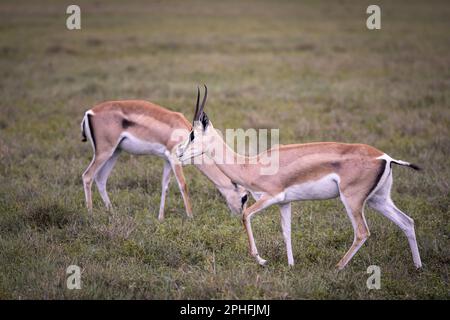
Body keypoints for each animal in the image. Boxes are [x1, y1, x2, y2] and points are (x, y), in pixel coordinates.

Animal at [79, 96, 248, 219]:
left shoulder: (167, 160)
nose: (240, 215)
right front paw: (191, 217)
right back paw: (90, 214)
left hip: (115, 152)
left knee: (101, 178)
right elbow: (183, 185)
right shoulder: (175, 158)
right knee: (87, 176)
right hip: (104, 151)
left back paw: (112, 213)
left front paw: (160, 218)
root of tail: (89, 112)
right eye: (244, 197)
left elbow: (164, 186)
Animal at [176, 85, 422, 270]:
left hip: (352, 200)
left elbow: (245, 215)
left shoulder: (271, 196)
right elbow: (287, 232)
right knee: (407, 222)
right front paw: (291, 265)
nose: (178, 153)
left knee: (362, 232)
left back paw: (337, 267)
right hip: (377, 200)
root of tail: (385, 157)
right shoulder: (285, 202)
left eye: (193, 134)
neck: (251, 165)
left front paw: (261, 260)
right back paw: (418, 267)